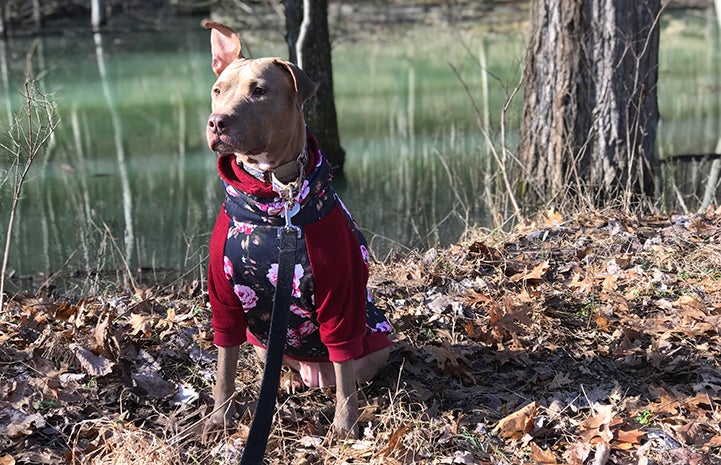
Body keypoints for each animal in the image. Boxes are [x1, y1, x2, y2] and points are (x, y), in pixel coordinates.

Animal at [202, 20, 390, 436]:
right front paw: (220, 417)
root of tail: (312, 374)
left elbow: (344, 368)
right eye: (218, 90)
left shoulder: (340, 295)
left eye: (259, 91)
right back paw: (285, 381)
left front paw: (345, 425)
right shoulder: (225, 300)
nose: (217, 122)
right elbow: (224, 367)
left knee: (349, 371)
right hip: (261, 339)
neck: (277, 198)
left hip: (377, 339)